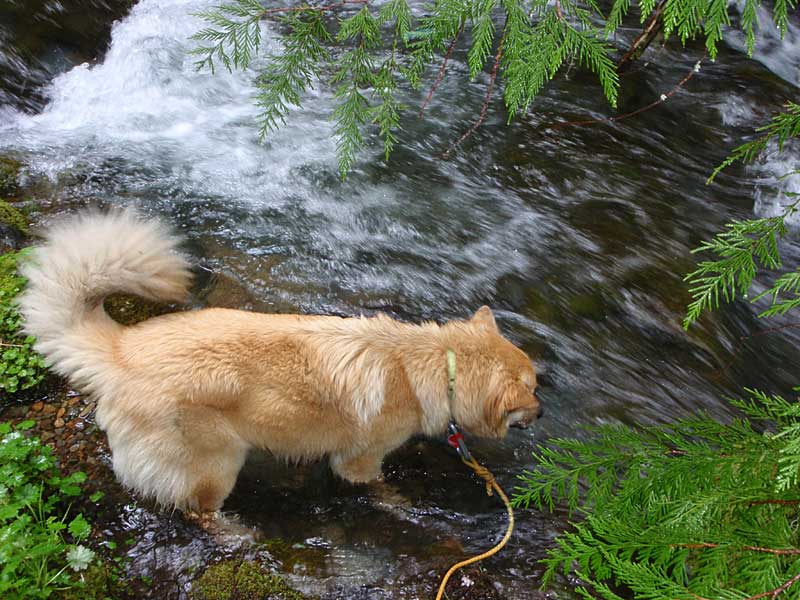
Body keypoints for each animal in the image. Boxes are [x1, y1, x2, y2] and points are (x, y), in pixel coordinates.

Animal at [18, 210, 540, 510]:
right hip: (217, 464)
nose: (542, 413)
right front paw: (399, 501)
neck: (427, 366)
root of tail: (120, 351)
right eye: (533, 390)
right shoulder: (358, 460)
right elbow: (374, 485)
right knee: (199, 512)